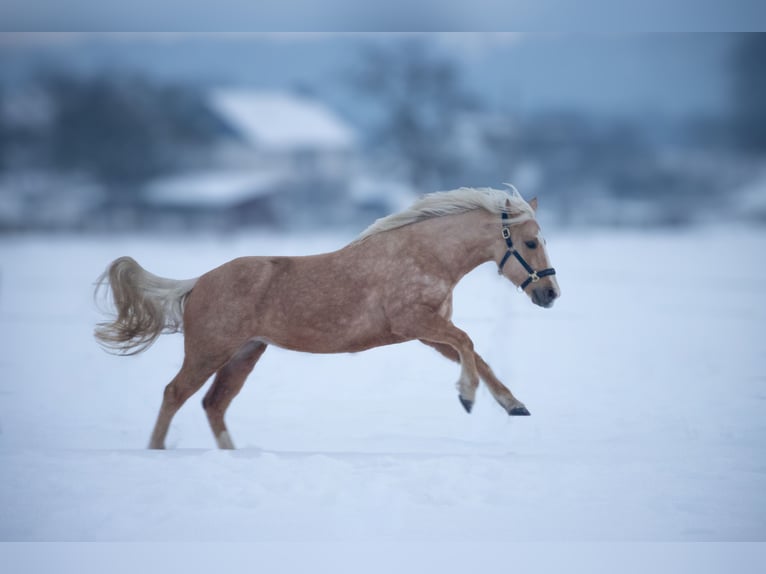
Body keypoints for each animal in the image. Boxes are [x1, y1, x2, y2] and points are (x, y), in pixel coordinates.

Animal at [97, 186, 564, 450]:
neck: (424, 256)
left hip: (244, 354)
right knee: (174, 394)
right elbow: (468, 343)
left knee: (213, 404)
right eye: (530, 242)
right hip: (209, 352)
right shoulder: (414, 324)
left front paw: (513, 405)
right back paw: (155, 451)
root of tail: (196, 284)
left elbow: (477, 355)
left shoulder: (428, 334)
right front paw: (466, 397)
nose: (550, 295)